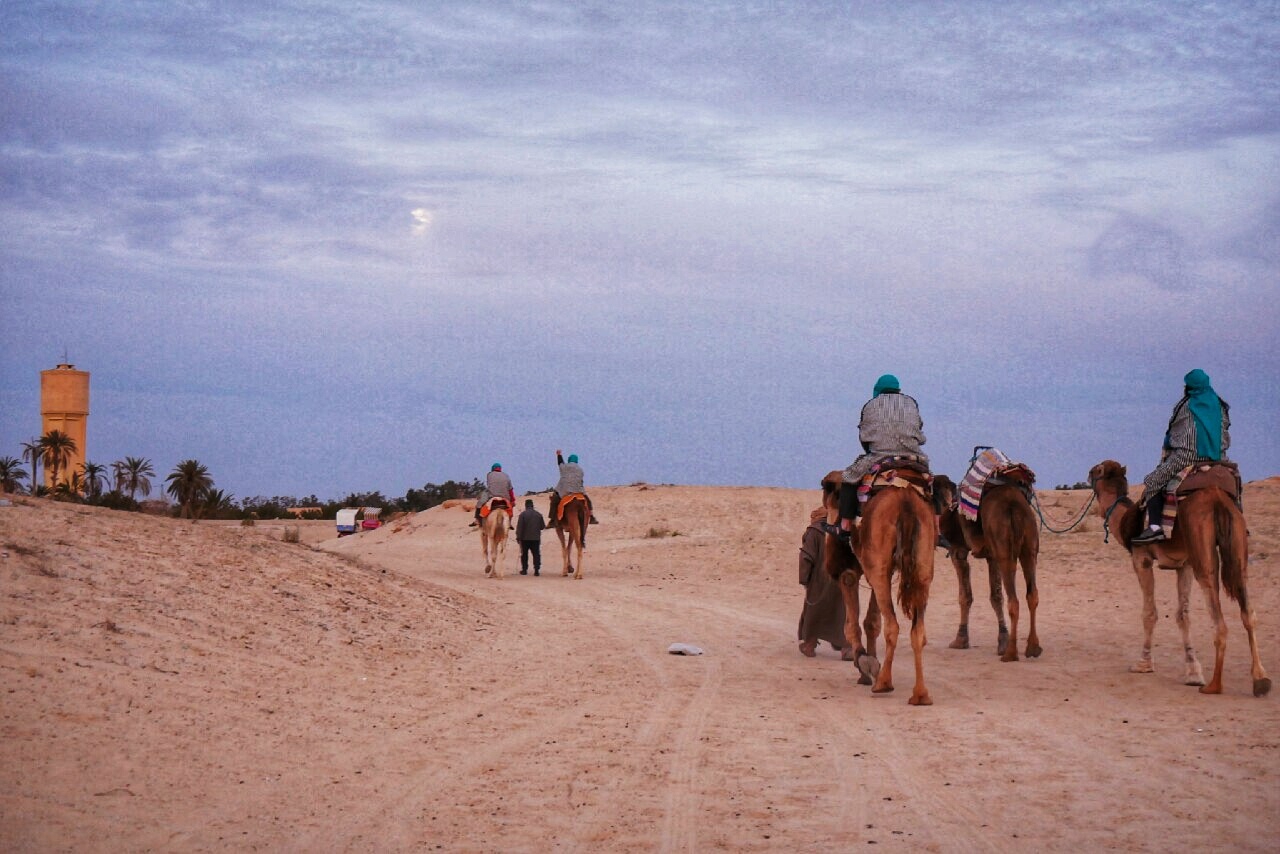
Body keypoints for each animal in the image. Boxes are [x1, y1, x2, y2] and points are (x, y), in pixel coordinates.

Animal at [931, 473, 1039, 660]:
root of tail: (1014, 506)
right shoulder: (990, 555)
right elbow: (996, 596)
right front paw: (1002, 640)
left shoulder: (957, 549)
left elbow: (965, 596)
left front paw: (960, 640)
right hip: (1029, 545)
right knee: (1032, 595)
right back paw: (1033, 649)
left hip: (1004, 548)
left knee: (1014, 599)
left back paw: (1010, 654)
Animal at [1090, 460, 1269, 696]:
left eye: (1096, 470)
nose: (1088, 474)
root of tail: (1217, 500)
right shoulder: (1184, 565)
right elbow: (1183, 615)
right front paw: (1193, 672)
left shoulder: (1141, 558)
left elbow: (1150, 613)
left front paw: (1143, 663)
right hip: (1238, 542)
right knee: (1248, 610)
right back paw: (1260, 679)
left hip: (1201, 546)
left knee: (1219, 618)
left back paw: (1214, 685)